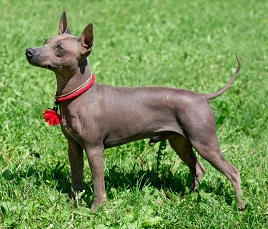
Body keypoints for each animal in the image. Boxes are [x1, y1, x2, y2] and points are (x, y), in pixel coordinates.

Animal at [25, 10, 245, 211]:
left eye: (59, 48)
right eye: (46, 41)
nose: (29, 51)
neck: (79, 96)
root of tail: (202, 97)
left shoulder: (94, 149)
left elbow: (98, 184)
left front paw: (95, 209)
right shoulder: (74, 147)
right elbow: (76, 178)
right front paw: (73, 205)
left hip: (204, 143)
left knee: (233, 171)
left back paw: (240, 205)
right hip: (180, 142)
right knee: (198, 168)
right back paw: (187, 198)